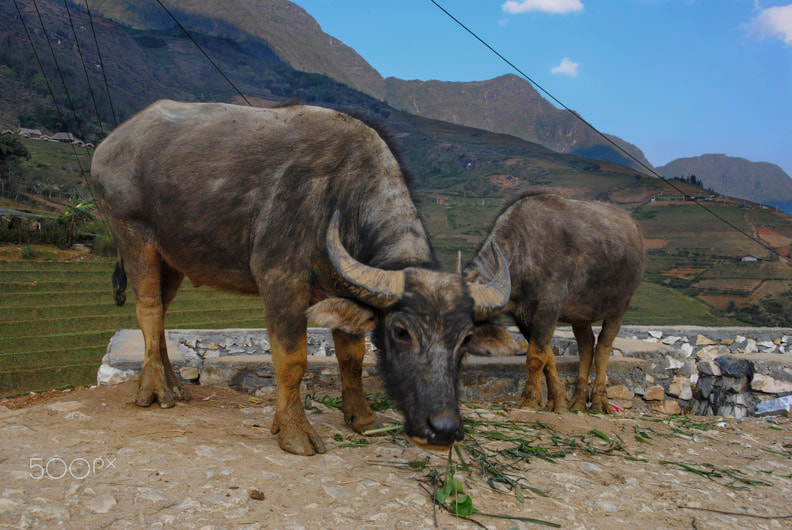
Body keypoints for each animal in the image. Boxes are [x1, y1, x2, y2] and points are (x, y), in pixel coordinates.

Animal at [93, 100, 510, 455]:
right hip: (132, 234)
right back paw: (155, 390)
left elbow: (352, 357)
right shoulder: (281, 280)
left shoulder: (346, 285)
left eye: (465, 339)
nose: (443, 429)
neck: (341, 196)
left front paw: (361, 417)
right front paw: (294, 431)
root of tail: (110, 145)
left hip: (174, 258)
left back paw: (176, 385)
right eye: (401, 332)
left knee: (162, 312)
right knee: (149, 307)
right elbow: (292, 360)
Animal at [464, 191, 644, 413]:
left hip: (619, 308)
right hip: (580, 315)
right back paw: (578, 400)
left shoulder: (548, 308)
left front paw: (529, 399)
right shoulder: (523, 318)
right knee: (586, 346)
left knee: (603, 348)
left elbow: (535, 357)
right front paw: (556, 400)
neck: (522, 253)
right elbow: (547, 356)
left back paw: (599, 402)